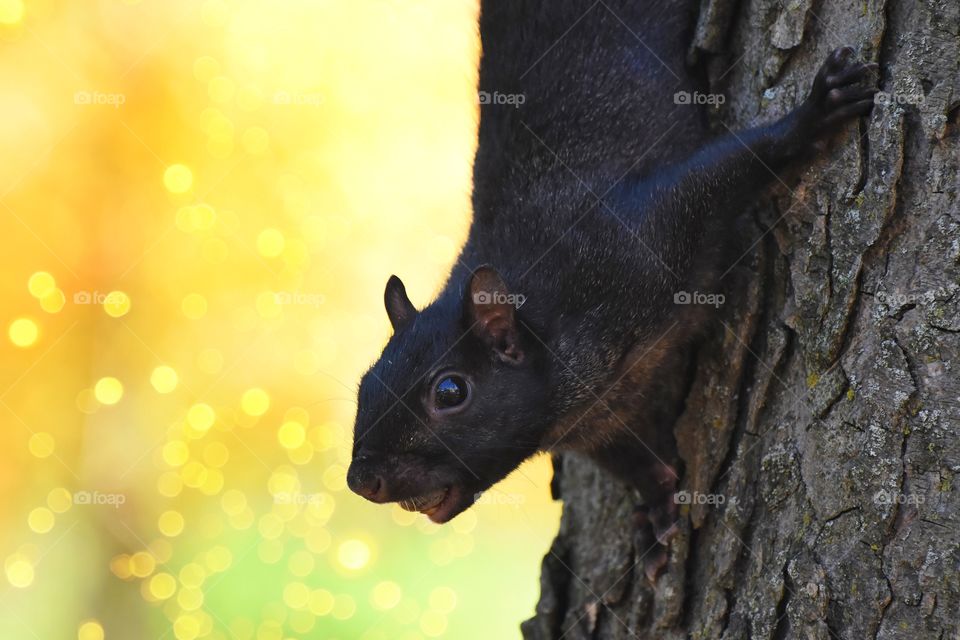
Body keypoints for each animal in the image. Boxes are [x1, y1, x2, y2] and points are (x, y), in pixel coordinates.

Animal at [347, 0, 878, 581]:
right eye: (365, 383)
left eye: (449, 392)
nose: (361, 480)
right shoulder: (592, 419)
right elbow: (630, 460)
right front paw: (656, 506)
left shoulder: (644, 228)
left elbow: (729, 166)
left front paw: (814, 113)